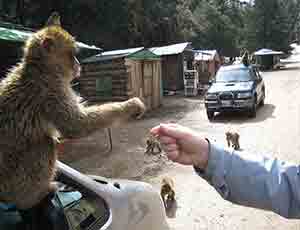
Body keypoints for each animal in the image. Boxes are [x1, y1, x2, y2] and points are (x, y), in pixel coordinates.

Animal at [0, 13, 145, 210]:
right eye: (71, 55)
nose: (78, 64)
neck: (40, 70)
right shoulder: (51, 93)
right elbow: (76, 126)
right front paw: (130, 106)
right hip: (13, 182)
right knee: (44, 143)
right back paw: (31, 198)